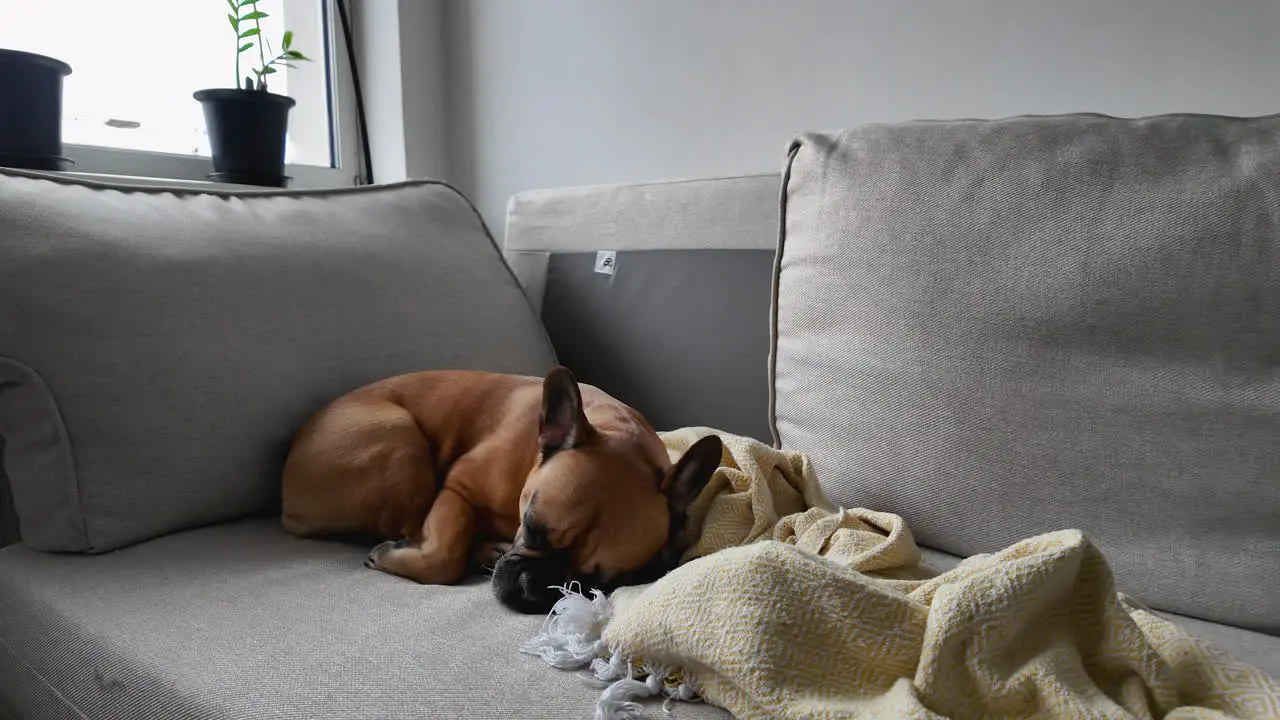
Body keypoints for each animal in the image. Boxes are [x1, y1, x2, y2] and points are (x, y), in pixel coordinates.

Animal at [280, 363, 721, 609]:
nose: (532, 588)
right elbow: (442, 555)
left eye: (601, 581)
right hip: (402, 442)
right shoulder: (458, 489)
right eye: (533, 529)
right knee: (415, 527)